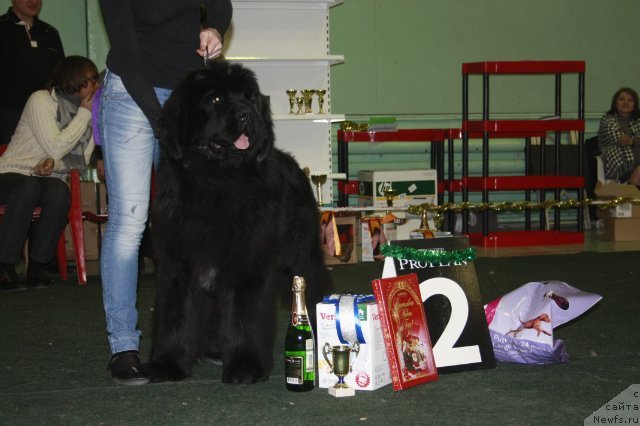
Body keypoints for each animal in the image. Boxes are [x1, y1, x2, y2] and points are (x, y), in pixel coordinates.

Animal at [147, 60, 332, 386]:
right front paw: (167, 363)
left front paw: (246, 366)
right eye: (216, 99)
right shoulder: (177, 266)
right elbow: (176, 315)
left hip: (301, 256)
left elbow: (244, 318)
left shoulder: (247, 266)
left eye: (249, 97)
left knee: (314, 284)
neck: (216, 182)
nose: (248, 114)